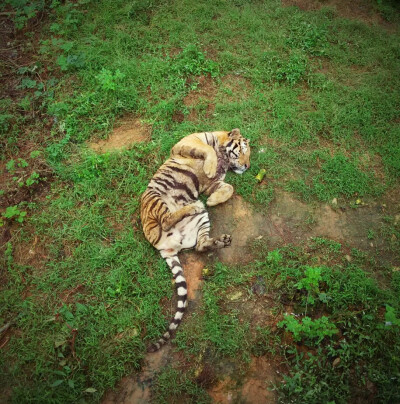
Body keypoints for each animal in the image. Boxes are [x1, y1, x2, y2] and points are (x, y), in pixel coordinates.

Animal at [141, 129, 250, 350]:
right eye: (243, 151)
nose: (247, 166)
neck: (225, 158)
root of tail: (162, 246)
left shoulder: (213, 184)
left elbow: (229, 188)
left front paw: (213, 200)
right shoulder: (188, 141)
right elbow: (207, 149)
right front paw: (209, 170)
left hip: (201, 221)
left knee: (200, 245)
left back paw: (220, 240)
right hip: (156, 199)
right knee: (167, 220)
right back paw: (195, 206)